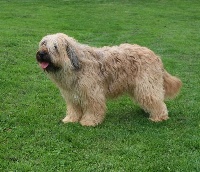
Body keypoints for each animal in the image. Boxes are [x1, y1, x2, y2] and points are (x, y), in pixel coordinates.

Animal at [35, 33, 181, 126]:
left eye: (55, 47)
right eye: (43, 43)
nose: (41, 54)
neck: (74, 64)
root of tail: (155, 56)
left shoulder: (92, 93)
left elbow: (93, 108)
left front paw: (89, 122)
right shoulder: (72, 95)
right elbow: (74, 108)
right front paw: (70, 119)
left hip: (146, 85)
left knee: (155, 99)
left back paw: (158, 117)